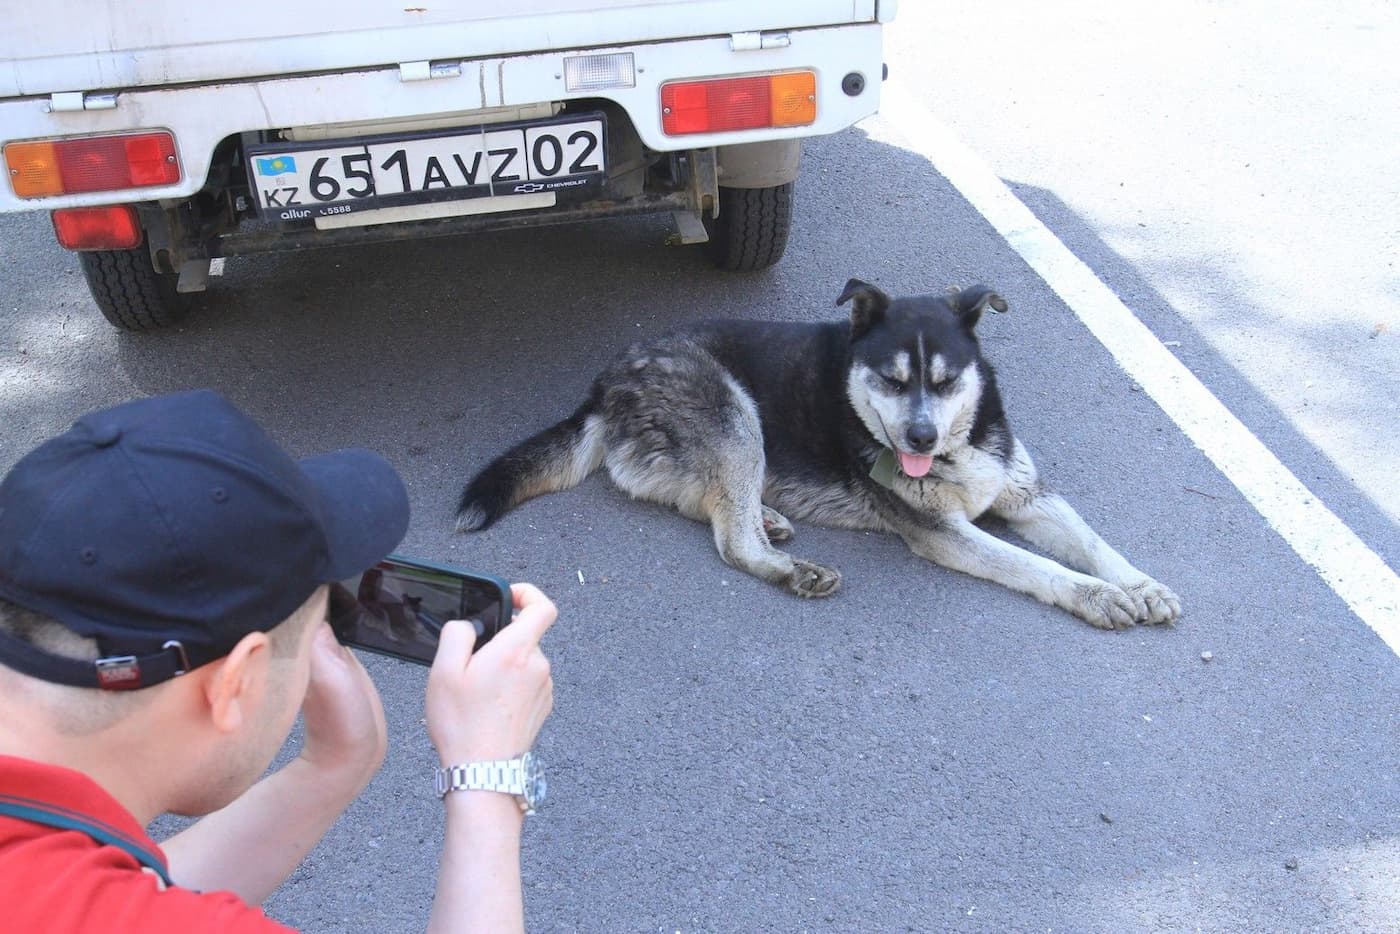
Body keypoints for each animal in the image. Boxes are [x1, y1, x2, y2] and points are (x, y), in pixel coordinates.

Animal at [459, 277, 1181, 627]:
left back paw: (770, 519)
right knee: (731, 541)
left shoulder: (1029, 496)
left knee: (712, 506)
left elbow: (1093, 542)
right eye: (892, 380)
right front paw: (1098, 597)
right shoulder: (945, 533)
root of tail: (606, 382)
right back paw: (790, 568)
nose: (918, 440)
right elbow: (1039, 567)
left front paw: (1140, 584)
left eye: (946, 380)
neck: (959, 442)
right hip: (737, 416)